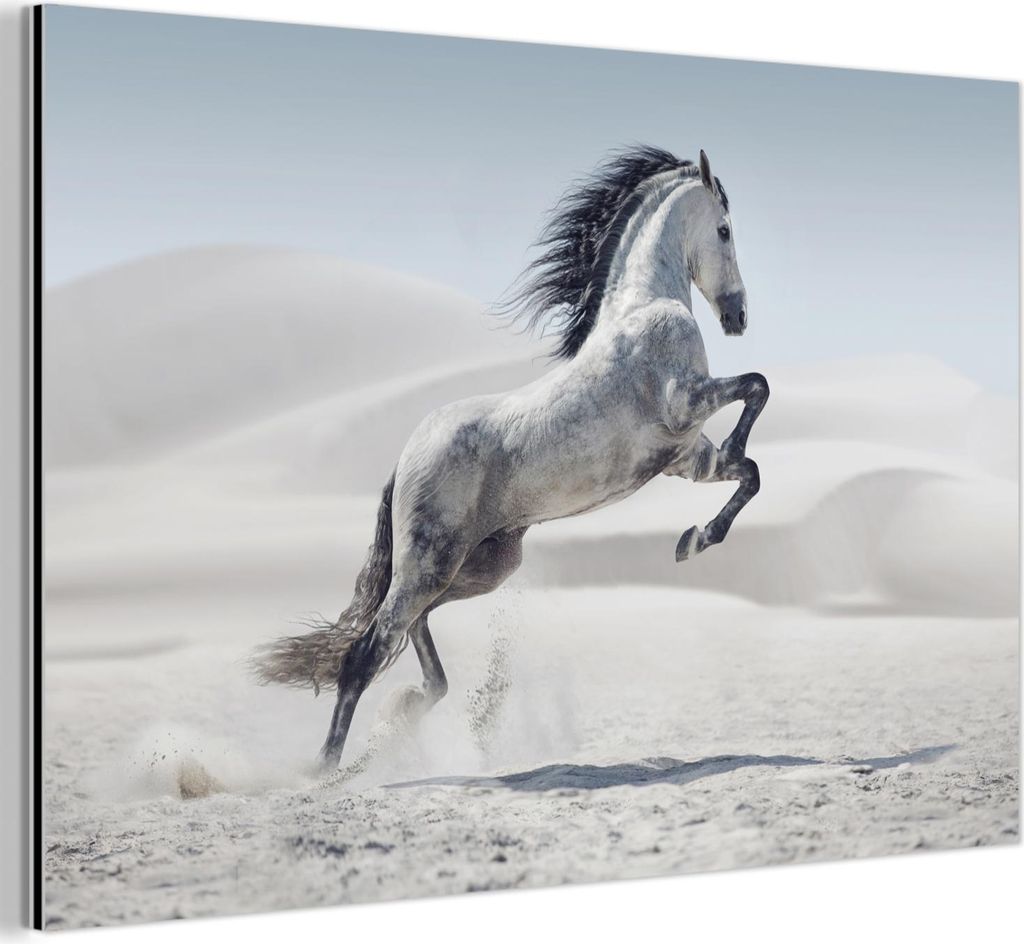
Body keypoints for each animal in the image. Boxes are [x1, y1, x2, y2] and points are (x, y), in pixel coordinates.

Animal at [252, 146, 769, 770]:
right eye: (724, 229)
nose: (738, 316)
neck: (644, 305)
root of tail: (404, 459)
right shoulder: (684, 402)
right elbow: (757, 387)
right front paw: (700, 526)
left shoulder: (685, 455)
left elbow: (748, 473)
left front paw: (692, 540)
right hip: (430, 564)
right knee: (366, 652)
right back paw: (328, 770)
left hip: (479, 566)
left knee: (412, 631)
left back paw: (409, 708)